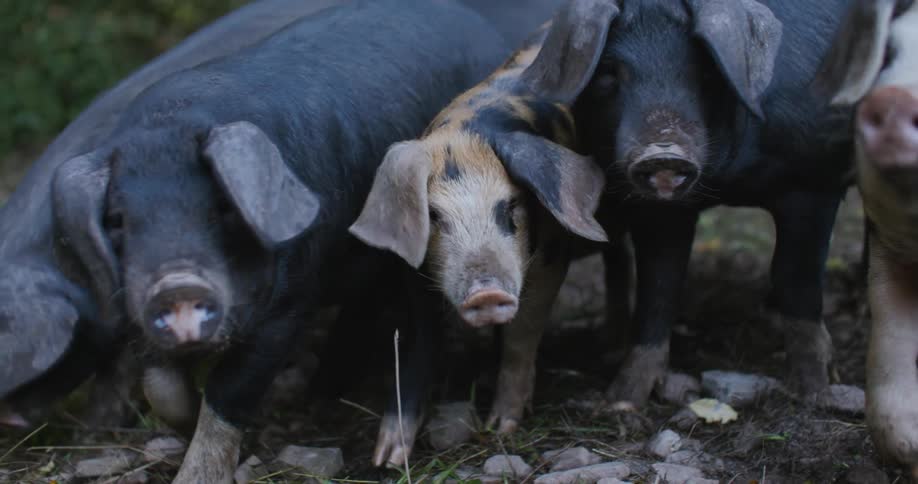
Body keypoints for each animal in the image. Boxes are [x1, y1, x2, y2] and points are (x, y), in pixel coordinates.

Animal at [44, 0, 533, 481]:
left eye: (220, 205)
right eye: (117, 220)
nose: (176, 285)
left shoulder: (289, 301)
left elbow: (229, 392)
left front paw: (195, 471)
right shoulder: (136, 313)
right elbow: (159, 384)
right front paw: (181, 421)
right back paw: (322, 392)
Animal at [351, 24, 610, 466]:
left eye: (512, 205)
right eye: (434, 216)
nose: (486, 292)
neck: (464, 132)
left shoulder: (551, 259)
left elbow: (522, 337)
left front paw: (501, 426)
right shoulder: (415, 276)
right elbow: (419, 345)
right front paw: (386, 459)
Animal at [514, 0, 857, 406]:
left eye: (705, 69)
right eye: (610, 72)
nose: (663, 152)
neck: (730, 185)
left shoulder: (814, 182)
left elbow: (796, 279)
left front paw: (814, 392)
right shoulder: (659, 212)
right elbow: (659, 287)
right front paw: (621, 401)